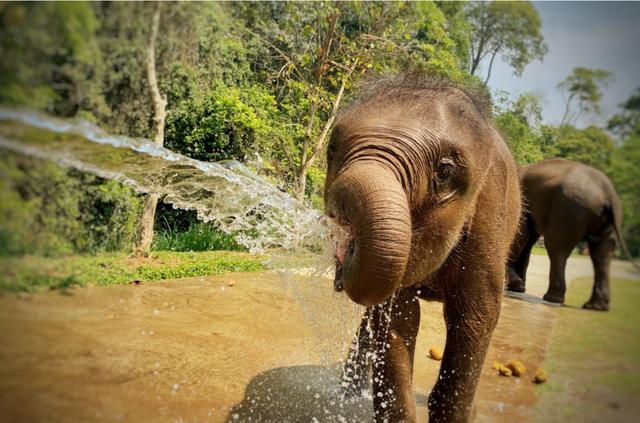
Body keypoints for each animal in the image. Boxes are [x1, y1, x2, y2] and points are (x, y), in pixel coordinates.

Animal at [322, 76, 524, 423]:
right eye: (331, 150)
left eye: (444, 171)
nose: (344, 255)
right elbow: (398, 318)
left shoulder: (489, 221)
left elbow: (475, 315)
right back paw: (347, 392)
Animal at [504, 159, 636, 312]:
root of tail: (609, 193)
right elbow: (528, 238)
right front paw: (517, 287)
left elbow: (521, 232)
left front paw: (513, 284)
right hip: (602, 220)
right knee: (601, 256)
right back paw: (595, 307)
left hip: (569, 211)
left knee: (556, 248)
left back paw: (552, 298)